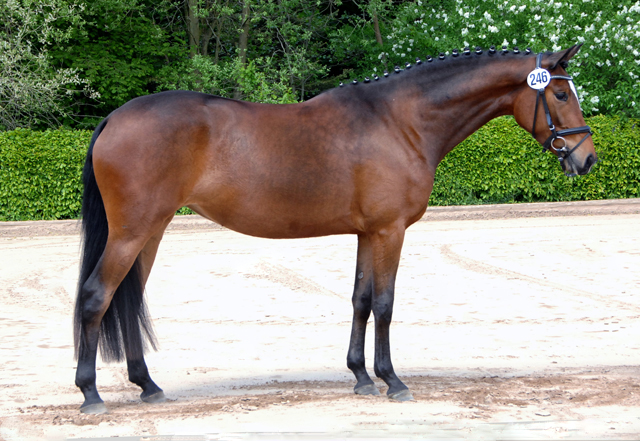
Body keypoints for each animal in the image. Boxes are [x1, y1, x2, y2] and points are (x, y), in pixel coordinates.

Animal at [74, 44, 596, 412]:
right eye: (561, 94)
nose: (587, 159)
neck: (400, 121)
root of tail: (114, 117)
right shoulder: (390, 232)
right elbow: (385, 304)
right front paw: (393, 381)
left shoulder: (368, 233)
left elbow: (361, 300)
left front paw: (361, 378)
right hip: (132, 232)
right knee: (97, 296)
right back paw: (91, 395)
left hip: (152, 231)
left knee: (128, 300)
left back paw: (147, 386)